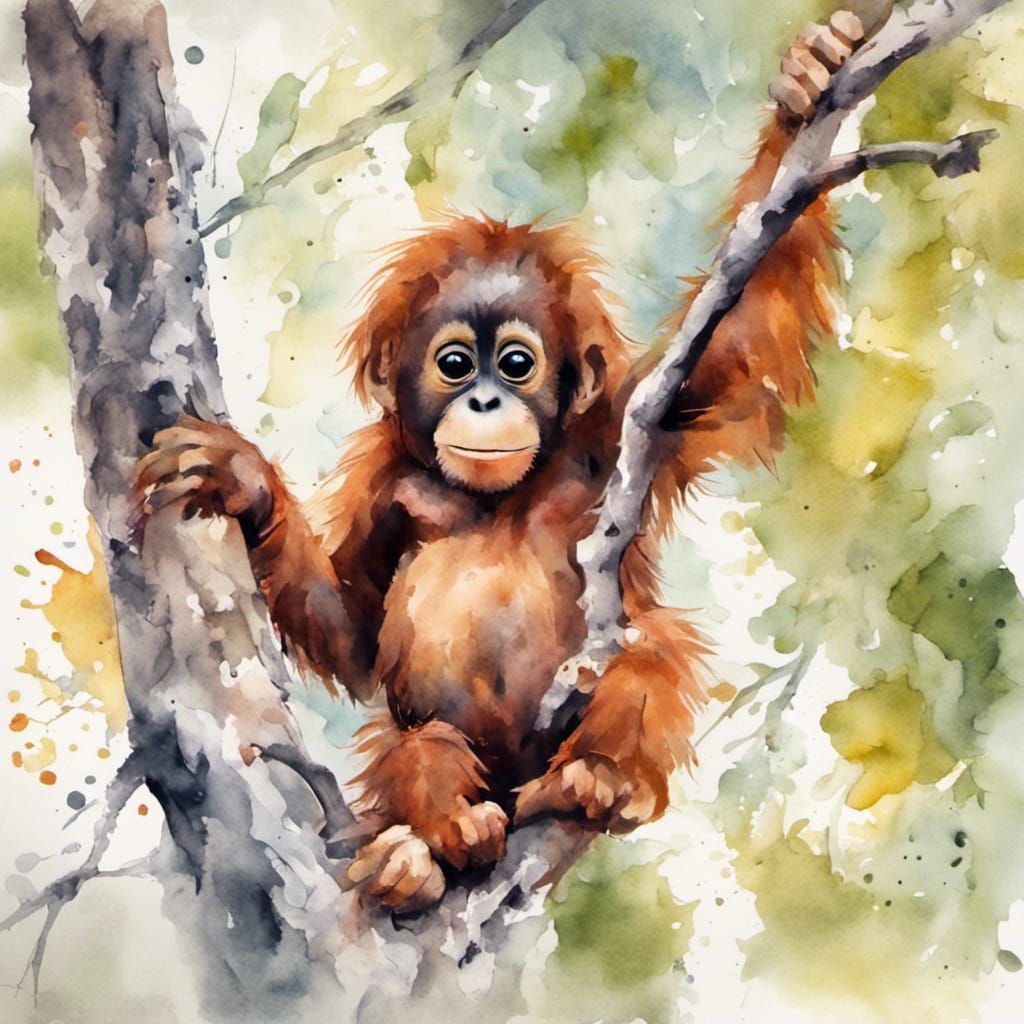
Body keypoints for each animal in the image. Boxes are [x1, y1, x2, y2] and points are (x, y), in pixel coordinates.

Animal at [135, 13, 862, 912]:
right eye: (455, 364)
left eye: (516, 363)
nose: (485, 401)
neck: (495, 498)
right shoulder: (383, 481)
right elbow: (354, 626)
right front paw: (243, 482)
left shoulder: (620, 423)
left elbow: (727, 345)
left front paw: (808, 82)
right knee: (421, 740)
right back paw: (430, 845)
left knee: (649, 650)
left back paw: (596, 778)